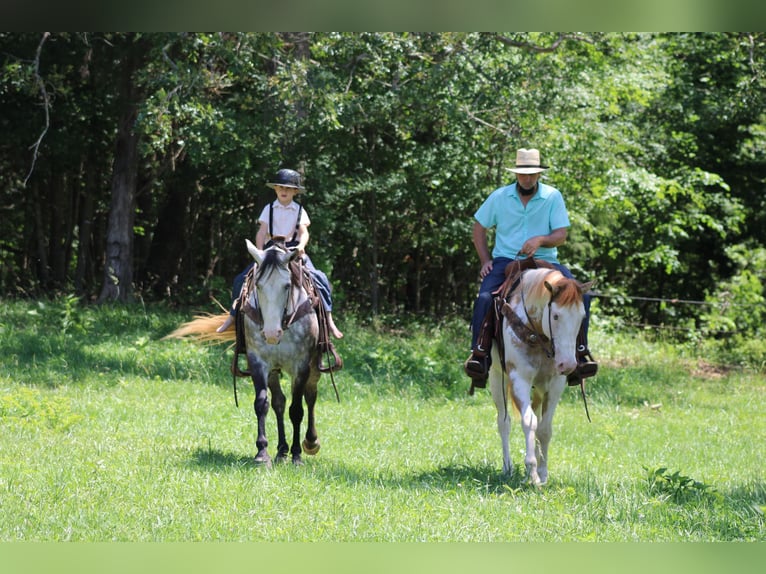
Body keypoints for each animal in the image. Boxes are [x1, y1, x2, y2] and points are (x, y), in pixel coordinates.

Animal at [489, 267, 593, 486]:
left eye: (582, 317)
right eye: (556, 316)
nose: (568, 364)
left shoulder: (555, 383)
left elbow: (544, 428)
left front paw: (543, 473)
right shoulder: (519, 378)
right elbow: (529, 422)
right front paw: (532, 472)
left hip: (538, 389)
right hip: (496, 378)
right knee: (504, 422)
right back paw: (507, 468)